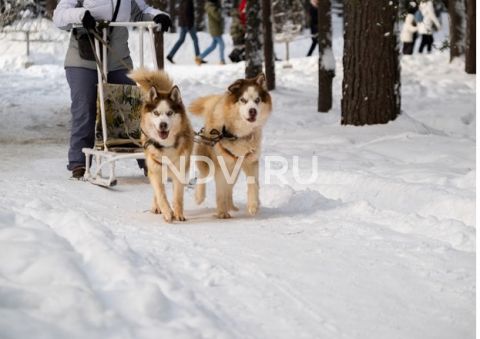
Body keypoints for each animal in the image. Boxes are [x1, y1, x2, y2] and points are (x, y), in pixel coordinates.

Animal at [129, 69, 195, 223]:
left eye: (170, 113)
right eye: (156, 113)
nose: (163, 124)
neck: (166, 146)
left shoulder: (179, 171)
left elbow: (178, 196)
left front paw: (178, 213)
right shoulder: (155, 170)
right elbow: (160, 194)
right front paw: (167, 211)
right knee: (157, 190)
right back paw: (157, 207)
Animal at [188, 73, 272, 219]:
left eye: (257, 100)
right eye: (243, 100)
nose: (253, 111)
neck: (238, 134)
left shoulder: (251, 161)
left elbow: (253, 184)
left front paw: (253, 205)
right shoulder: (221, 165)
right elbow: (221, 190)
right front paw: (222, 212)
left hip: (235, 170)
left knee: (229, 188)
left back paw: (232, 206)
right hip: (207, 159)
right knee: (203, 175)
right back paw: (200, 197)